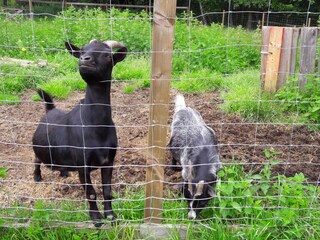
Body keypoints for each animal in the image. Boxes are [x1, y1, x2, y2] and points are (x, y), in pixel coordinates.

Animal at [32, 39, 126, 223]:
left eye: (107, 55)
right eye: (82, 51)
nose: (84, 59)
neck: (96, 128)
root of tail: (50, 109)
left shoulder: (109, 161)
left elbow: (107, 190)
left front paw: (111, 216)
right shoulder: (83, 164)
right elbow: (91, 193)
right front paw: (96, 219)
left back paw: (64, 172)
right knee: (36, 159)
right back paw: (37, 176)